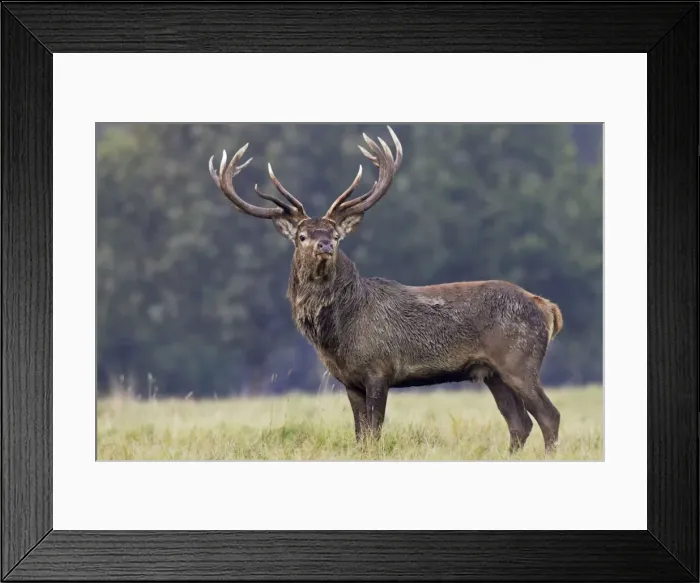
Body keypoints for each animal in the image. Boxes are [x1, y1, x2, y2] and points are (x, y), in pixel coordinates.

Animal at [208, 126, 564, 454]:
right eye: (302, 236)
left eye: (335, 235)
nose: (325, 246)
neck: (336, 336)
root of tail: (547, 307)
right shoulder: (349, 380)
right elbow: (360, 436)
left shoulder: (380, 368)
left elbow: (374, 434)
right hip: (492, 373)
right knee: (519, 423)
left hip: (519, 360)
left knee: (549, 416)